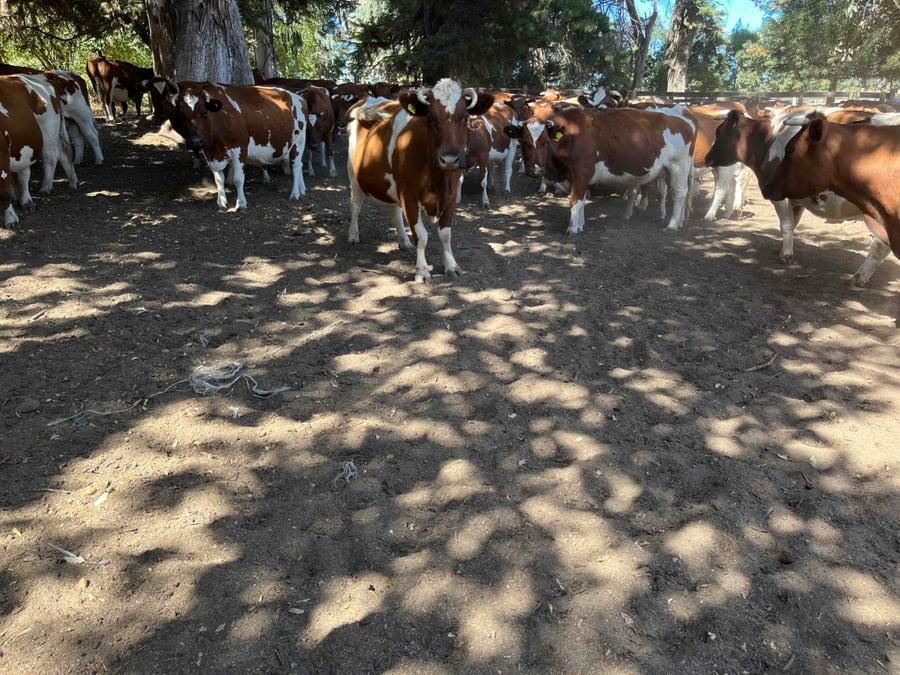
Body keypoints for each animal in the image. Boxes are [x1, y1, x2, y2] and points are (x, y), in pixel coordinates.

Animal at [171, 83, 308, 210]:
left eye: (204, 112)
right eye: (182, 114)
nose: (196, 140)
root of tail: (299, 97)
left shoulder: (240, 149)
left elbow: (238, 179)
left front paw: (241, 203)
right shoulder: (210, 154)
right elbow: (219, 180)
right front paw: (221, 202)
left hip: (298, 142)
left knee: (296, 166)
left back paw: (295, 193)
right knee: (300, 165)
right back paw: (302, 189)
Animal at [346, 79, 495, 281]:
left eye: (465, 118)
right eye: (430, 118)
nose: (449, 159)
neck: (438, 178)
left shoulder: (450, 195)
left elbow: (445, 234)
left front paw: (450, 265)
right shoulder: (408, 195)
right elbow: (421, 235)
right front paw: (422, 270)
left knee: (394, 209)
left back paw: (403, 240)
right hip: (354, 176)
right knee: (355, 204)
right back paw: (353, 235)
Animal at [503, 105, 695, 234]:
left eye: (544, 142)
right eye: (523, 141)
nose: (534, 169)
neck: (571, 137)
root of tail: (685, 119)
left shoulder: (582, 174)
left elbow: (575, 202)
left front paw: (572, 229)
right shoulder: (579, 178)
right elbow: (581, 202)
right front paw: (580, 225)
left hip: (678, 167)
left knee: (679, 193)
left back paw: (672, 224)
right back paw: (678, 221)